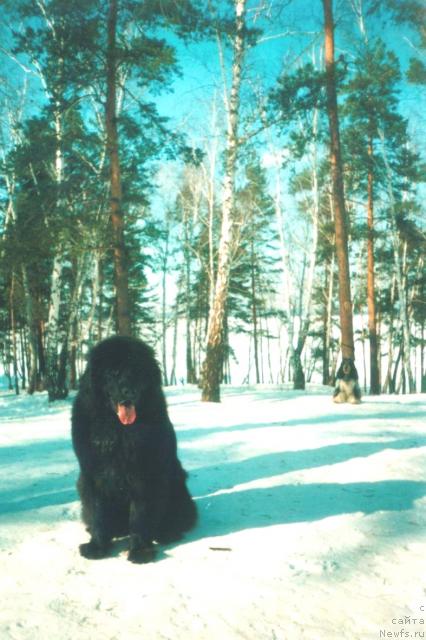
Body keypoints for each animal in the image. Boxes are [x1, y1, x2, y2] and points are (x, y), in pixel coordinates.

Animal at [71, 338, 196, 564]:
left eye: (137, 370)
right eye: (112, 372)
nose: (128, 390)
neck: (118, 430)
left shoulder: (145, 476)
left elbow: (140, 515)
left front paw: (139, 551)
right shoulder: (93, 476)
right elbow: (98, 512)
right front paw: (97, 547)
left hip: (176, 482)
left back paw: (166, 533)